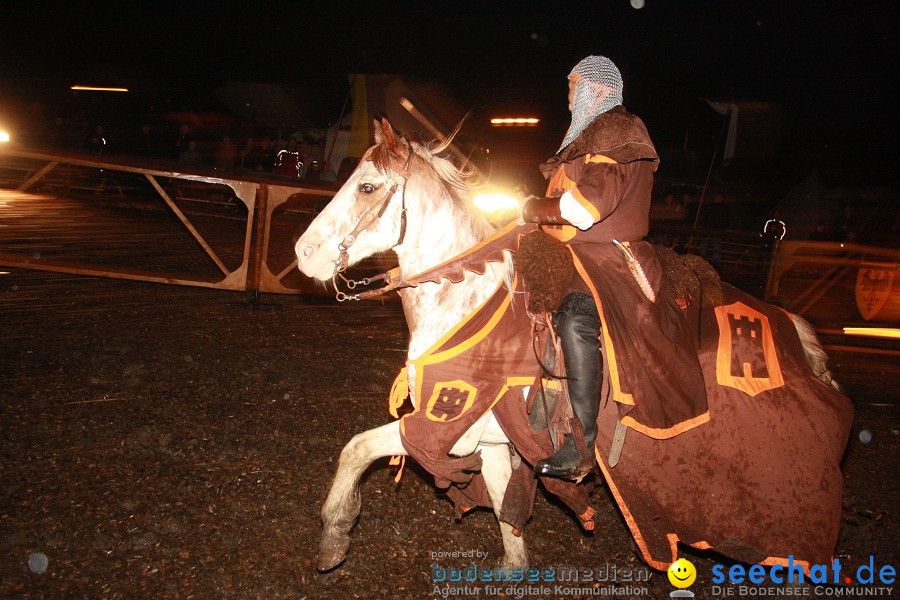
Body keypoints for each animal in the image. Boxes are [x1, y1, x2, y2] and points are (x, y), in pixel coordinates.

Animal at [296, 117, 852, 572]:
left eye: (368, 187)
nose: (304, 254)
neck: (467, 300)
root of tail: (791, 331)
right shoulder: (493, 444)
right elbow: (509, 525)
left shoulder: (445, 426)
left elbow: (355, 448)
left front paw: (334, 533)